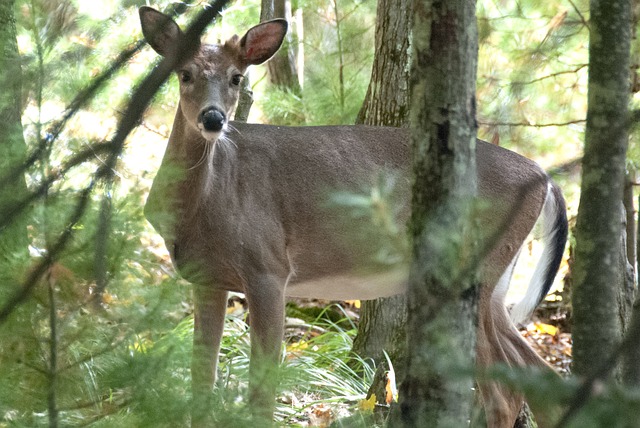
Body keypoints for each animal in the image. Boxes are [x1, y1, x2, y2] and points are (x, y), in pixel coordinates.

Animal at [139, 7, 564, 428]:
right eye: (185, 73)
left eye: (236, 77)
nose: (213, 119)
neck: (204, 204)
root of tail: (543, 177)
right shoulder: (207, 278)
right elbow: (201, 381)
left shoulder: (268, 266)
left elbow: (262, 389)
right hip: (496, 285)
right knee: (536, 378)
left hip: (473, 267)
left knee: (504, 395)